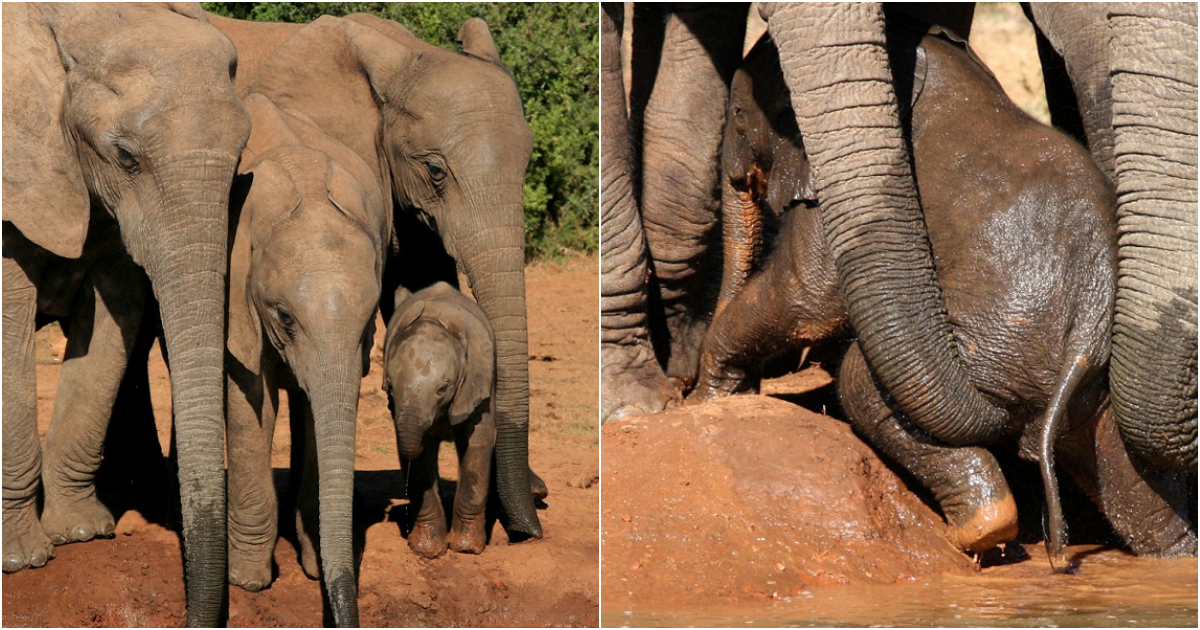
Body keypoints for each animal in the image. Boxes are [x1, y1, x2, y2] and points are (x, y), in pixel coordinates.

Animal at [1, 3, 250, 624]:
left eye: (240, 157)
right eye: (126, 156)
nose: (188, 613)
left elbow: (116, 316)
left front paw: (82, 533)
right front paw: (22, 560)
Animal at [213, 92, 386, 624]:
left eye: (370, 318)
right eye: (285, 317)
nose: (342, 610)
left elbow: (320, 409)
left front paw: (315, 567)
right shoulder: (237, 297)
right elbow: (250, 403)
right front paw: (248, 582)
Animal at [384, 280, 496, 554]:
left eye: (443, 388)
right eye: (390, 385)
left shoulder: (478, 381)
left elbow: (478, 442)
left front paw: (466, 548)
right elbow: (418, 462)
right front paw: (427, 550)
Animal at [691, 27, 1195, 561]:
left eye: (737, 115)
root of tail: (1086, 338)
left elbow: (805, 295)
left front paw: (704, 401)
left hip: (998, 349)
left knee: (862, 384)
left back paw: (977, 531)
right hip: (1092, 394)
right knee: (1132, 483)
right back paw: (1175, 556)